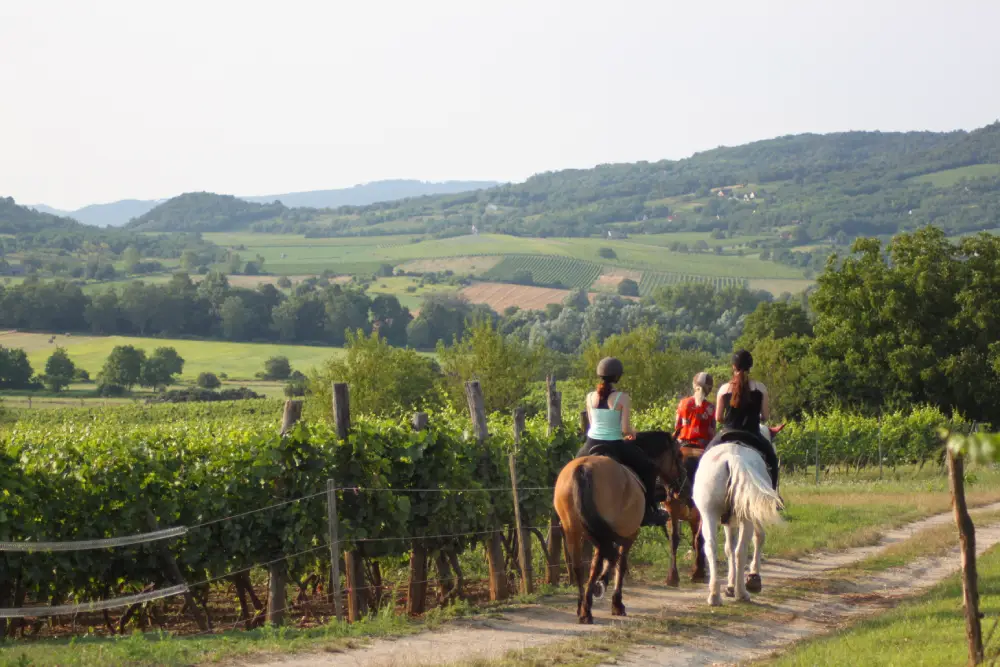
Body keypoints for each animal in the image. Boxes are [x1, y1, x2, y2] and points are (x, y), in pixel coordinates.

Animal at [556, 434, 688, 628]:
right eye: (678, 455)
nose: (682, 485)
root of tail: (583, 469)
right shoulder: (629, 534)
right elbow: (621, 564)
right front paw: (615, 602)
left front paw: (599, 589)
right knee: (598, 562)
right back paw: (588, 607)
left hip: (573, 529)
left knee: (579, 566)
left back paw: (583, 607)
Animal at [692, 428, 784, 604]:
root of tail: (731, 458)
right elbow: (758, 537)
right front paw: (752, 578)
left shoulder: (728, 522)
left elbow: (728, 548)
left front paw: (729, 586)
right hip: (746, 518)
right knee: (741, 550)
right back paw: (741, 592)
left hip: (709, 514)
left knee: (712, 547)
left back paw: (714, 594)